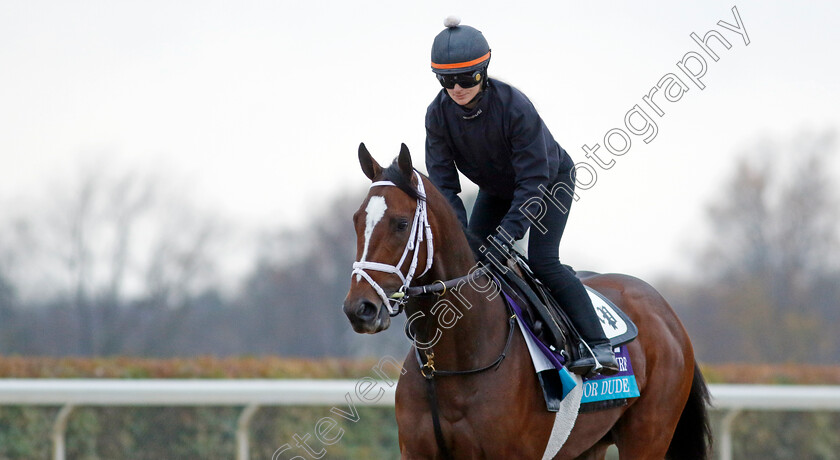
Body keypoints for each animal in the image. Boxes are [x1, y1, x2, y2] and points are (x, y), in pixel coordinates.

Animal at [344, 142, 712, 458]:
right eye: (357, 220)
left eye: (401, 223)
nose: (359, 309)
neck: (454, 361)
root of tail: (666, 311)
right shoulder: (416, 451)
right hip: (590, 444)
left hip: (649, 435)